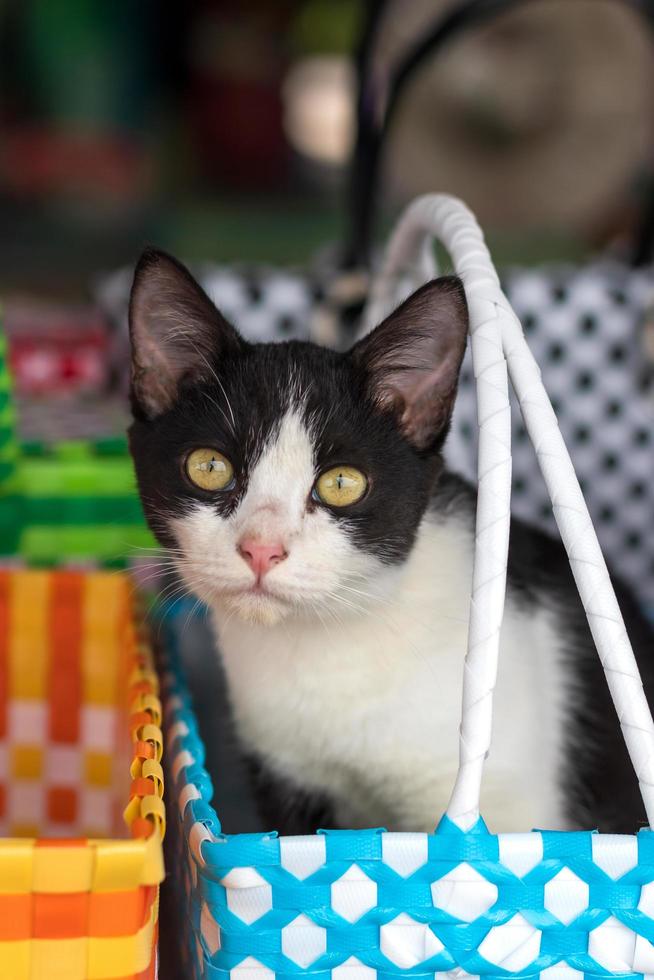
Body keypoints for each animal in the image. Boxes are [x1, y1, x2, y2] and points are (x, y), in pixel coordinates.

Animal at [127, 247, 654, 836]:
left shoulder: (506, 805)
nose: (261, 549)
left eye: (342, 483)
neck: (330, 647)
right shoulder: (287, 777)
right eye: (209, 467)